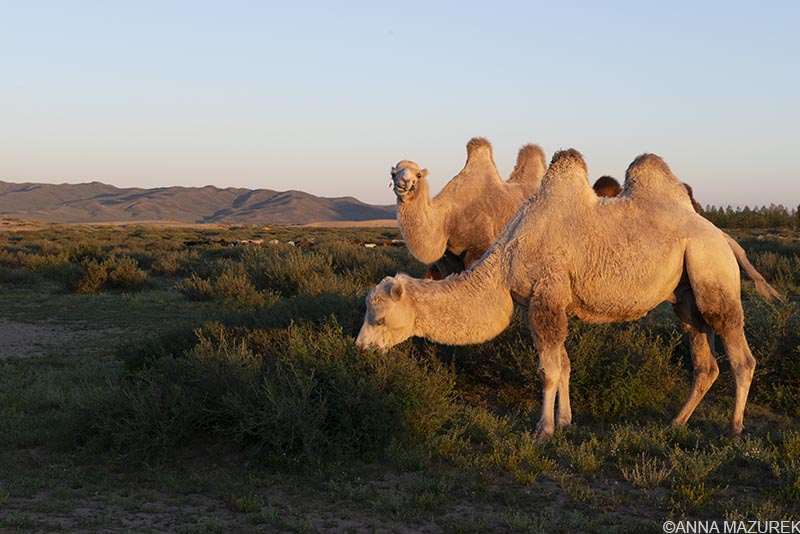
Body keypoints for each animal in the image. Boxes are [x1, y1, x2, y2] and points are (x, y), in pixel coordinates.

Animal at [392, 137, 548, 280]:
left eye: (418, 175)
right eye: (393, 174)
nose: (403, 183)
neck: (446, 219)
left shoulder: (480, 247)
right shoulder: (447, 258)